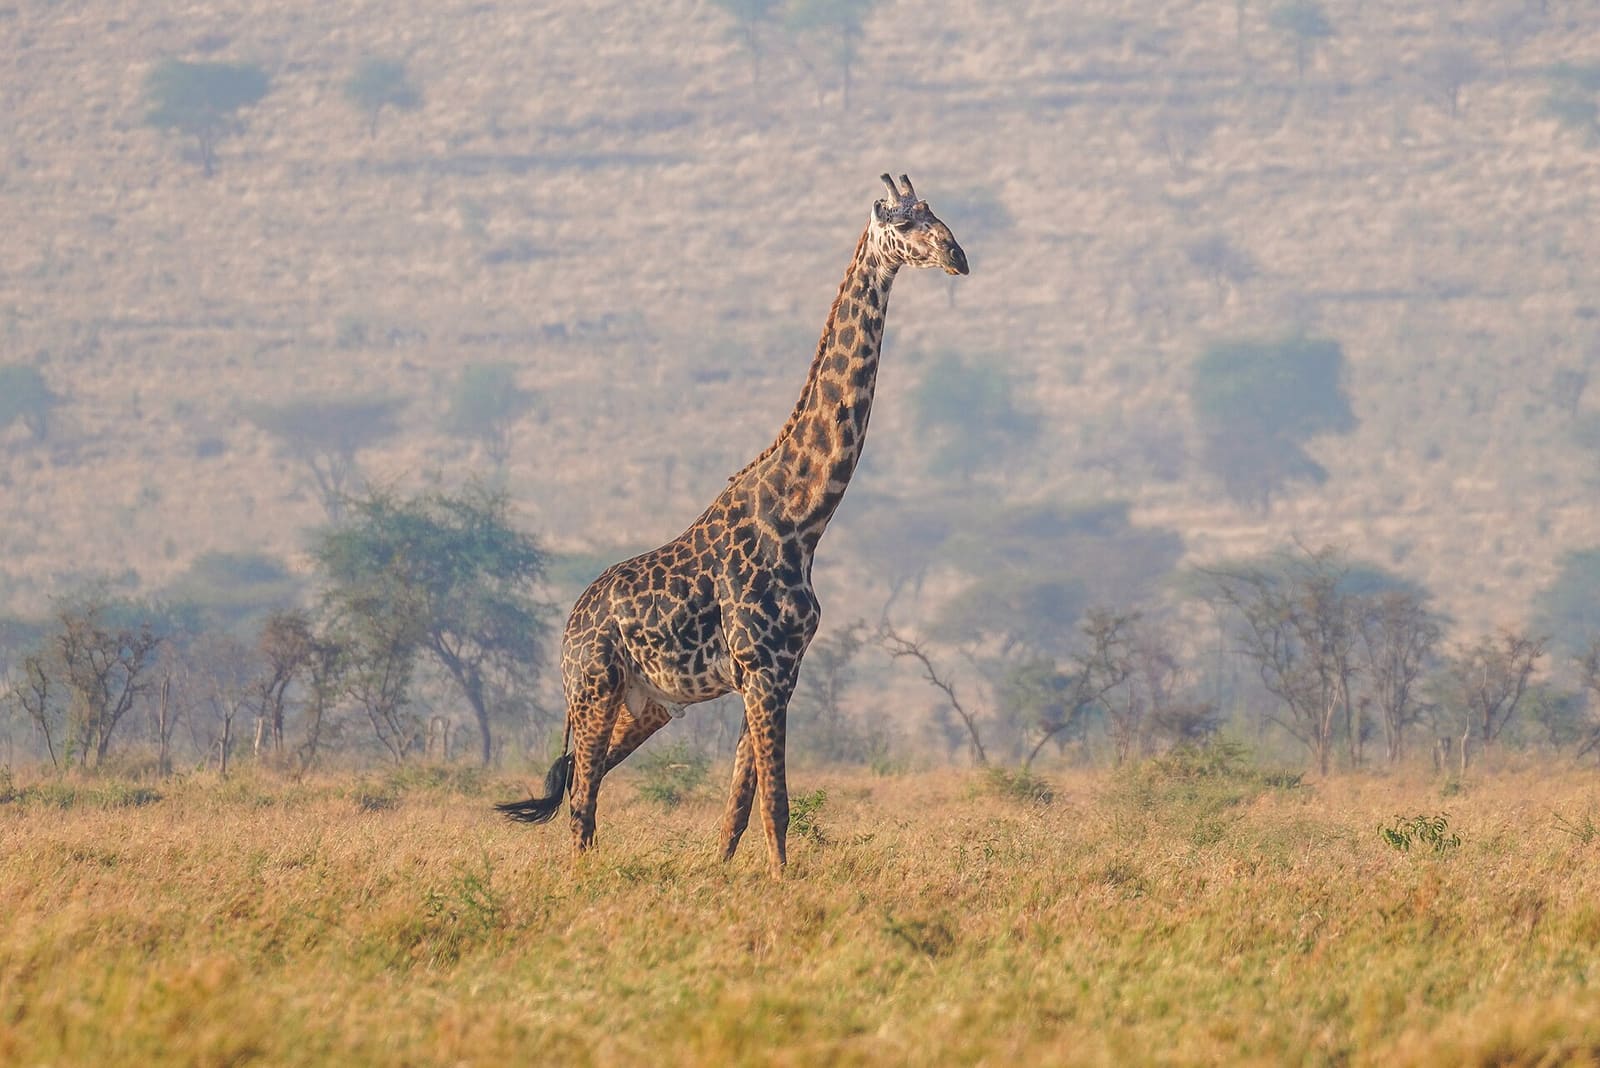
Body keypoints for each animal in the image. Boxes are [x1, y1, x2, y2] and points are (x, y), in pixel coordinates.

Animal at [496, 174, 967, 877]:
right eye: (905, 223)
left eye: (936, 213)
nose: (958, 255)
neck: (803, 519)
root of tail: (570, 625)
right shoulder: (764, 670)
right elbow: (775, 803)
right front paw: (782, 890)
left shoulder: (777, 674)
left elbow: (737, 809)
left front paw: (722, 882)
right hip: (593, 687)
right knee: (580, 796)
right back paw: (578, 883)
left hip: (649, 705)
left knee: (587, 779)